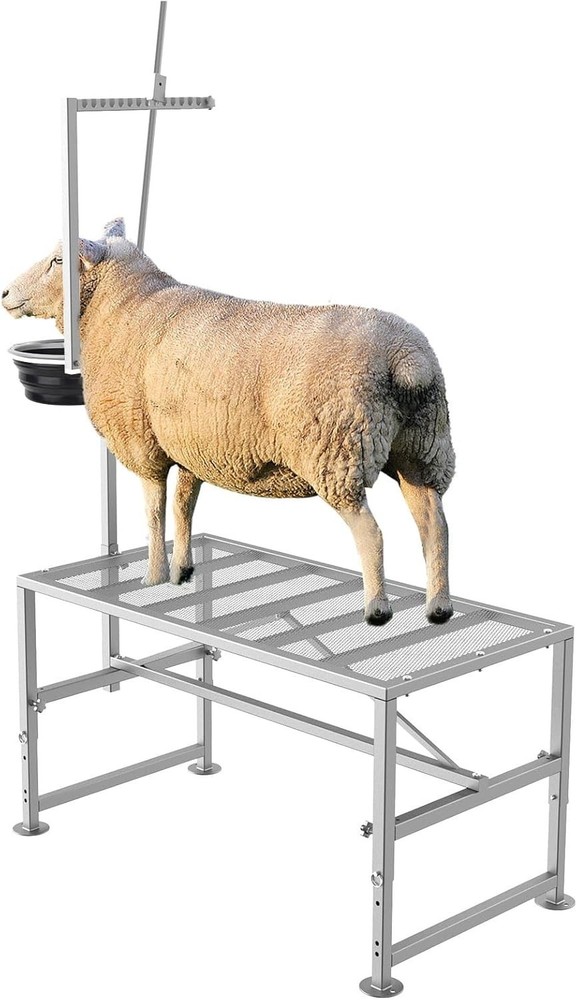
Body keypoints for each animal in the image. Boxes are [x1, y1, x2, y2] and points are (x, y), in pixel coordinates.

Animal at [3, 219, 456, 625]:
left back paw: (377, 609)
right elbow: (184, 506)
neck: (119, 309)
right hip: (422, 448)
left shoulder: (144, 443)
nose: (5, 293)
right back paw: (438, 607)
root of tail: (405, 358)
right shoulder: (191, 445)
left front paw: (153, 576)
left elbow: (154, 513)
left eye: (58, 260)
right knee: (435, 526)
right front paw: (182, 570)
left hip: (338, 452)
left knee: (372, 532)